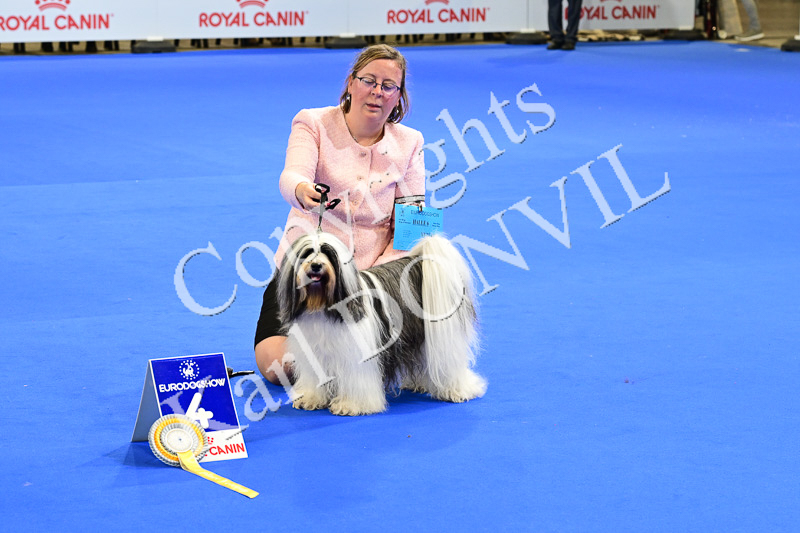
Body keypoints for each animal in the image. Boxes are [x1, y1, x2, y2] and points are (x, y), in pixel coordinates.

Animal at [276, 231, 487, 416]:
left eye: (328, 253)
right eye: (306, 254)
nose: (316, 266)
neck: (324, 306)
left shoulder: (356, 355)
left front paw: (350, 405)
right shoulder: (314, 353)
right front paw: (311, 399)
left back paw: (458, 390)